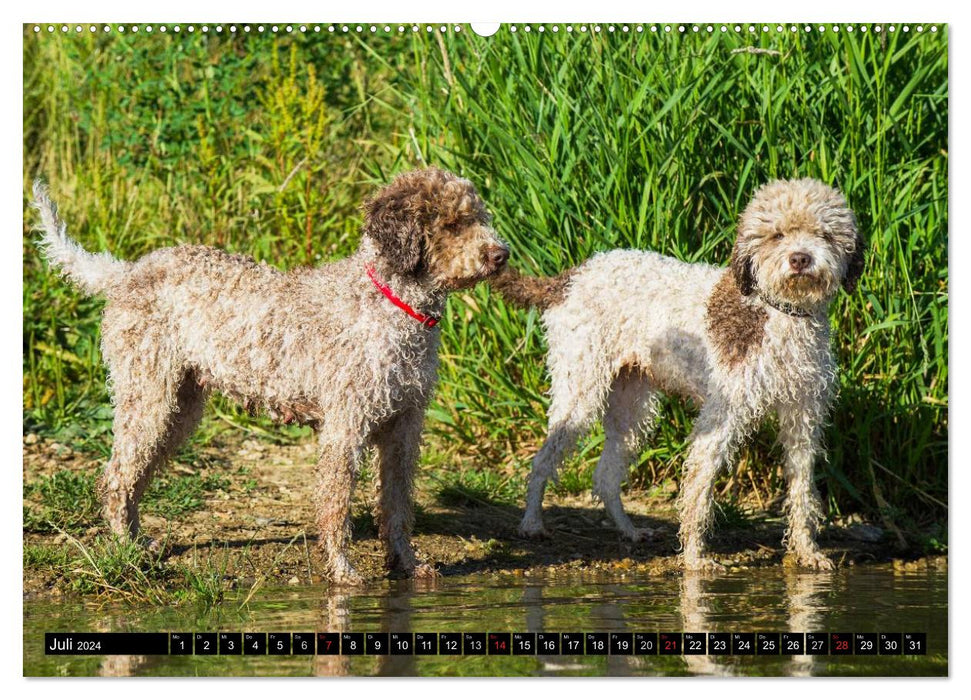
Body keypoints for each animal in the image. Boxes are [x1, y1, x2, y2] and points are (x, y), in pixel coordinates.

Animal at [36, 170, 508, 584]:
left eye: (479, 217)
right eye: (451, 224)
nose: (501, 254)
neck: (390, 303)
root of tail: (125, 273)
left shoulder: (404, 427)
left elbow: (397, 506)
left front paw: (407, 565)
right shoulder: (346, 427)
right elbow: (336, 505)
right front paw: (342, 572)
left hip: (178, 408)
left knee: (133, 476)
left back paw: (139, 541)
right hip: (147, 396)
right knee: (116, 478)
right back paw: (125, 548)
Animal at [498, 178, 860, 572]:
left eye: (824, 234)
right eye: (777, 234)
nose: (800, 259)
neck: (779, 313)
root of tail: (569, 278)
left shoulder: (803, 417)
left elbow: (802, 489)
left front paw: (807, 551)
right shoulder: (721, 418)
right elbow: (699, 490)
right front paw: (695, 559)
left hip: (631, 407)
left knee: (606, 476)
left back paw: (629, 530)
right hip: (580, 391)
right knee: (543, 460)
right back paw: (532, 523)